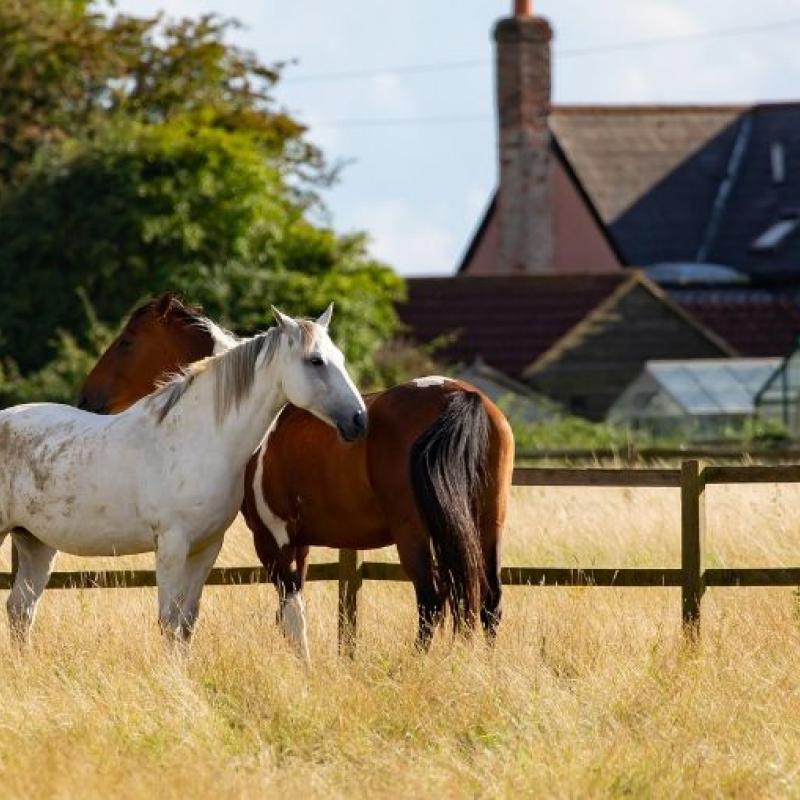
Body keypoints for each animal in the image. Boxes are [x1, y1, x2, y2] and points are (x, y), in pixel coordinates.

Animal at [0, 306, 366, 644]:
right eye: (315, 361)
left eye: (340, 358)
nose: (359, 419)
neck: (198, 438)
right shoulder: (172, 545)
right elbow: (168, 620)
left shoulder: (206, 547)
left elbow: (186, 622)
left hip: (35, 543)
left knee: (20, 609)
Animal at [79, 294, 512, 656]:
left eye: (127, 342)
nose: (87, 398)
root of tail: (461, 396)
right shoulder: (299, 542)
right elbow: (290, 616)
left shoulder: (272, 540)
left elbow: (291, 615)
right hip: (487, 524)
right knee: (489, 601)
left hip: (415, 533)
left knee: (431, 601)